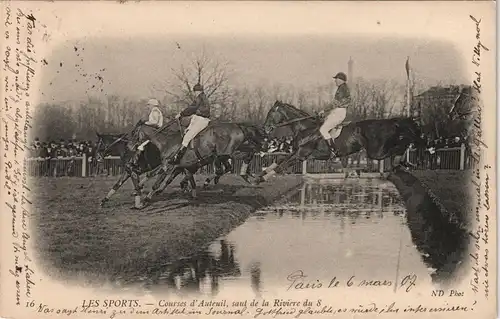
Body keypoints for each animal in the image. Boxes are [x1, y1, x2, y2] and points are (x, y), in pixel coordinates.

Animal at [254, 100, 426, 185]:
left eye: (271, 112)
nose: (265, 128)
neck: (305, 128)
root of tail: (389, 122)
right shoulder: (296, 153)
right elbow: (278, 161)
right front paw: (258, 175)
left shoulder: (301, 154)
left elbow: (281, 166)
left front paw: (260, 179)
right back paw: (404, 163)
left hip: (375, 151)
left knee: (397, 148)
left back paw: (405, 162)